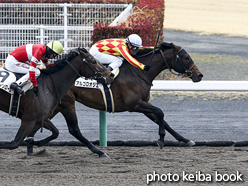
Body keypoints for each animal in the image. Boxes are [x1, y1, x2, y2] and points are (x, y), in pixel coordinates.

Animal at [27, 42, 203, 157]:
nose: (199, 75)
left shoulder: (144, 103)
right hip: (67, 103)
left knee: (37, 123)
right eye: (186, 58)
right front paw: (160, 139)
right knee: (72, 129)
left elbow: (162, 119)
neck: (139, 72)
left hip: (56, 106)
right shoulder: (134, 104)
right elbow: (160, 113)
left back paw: (31, 146)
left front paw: (185, 140)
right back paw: (98, 152)